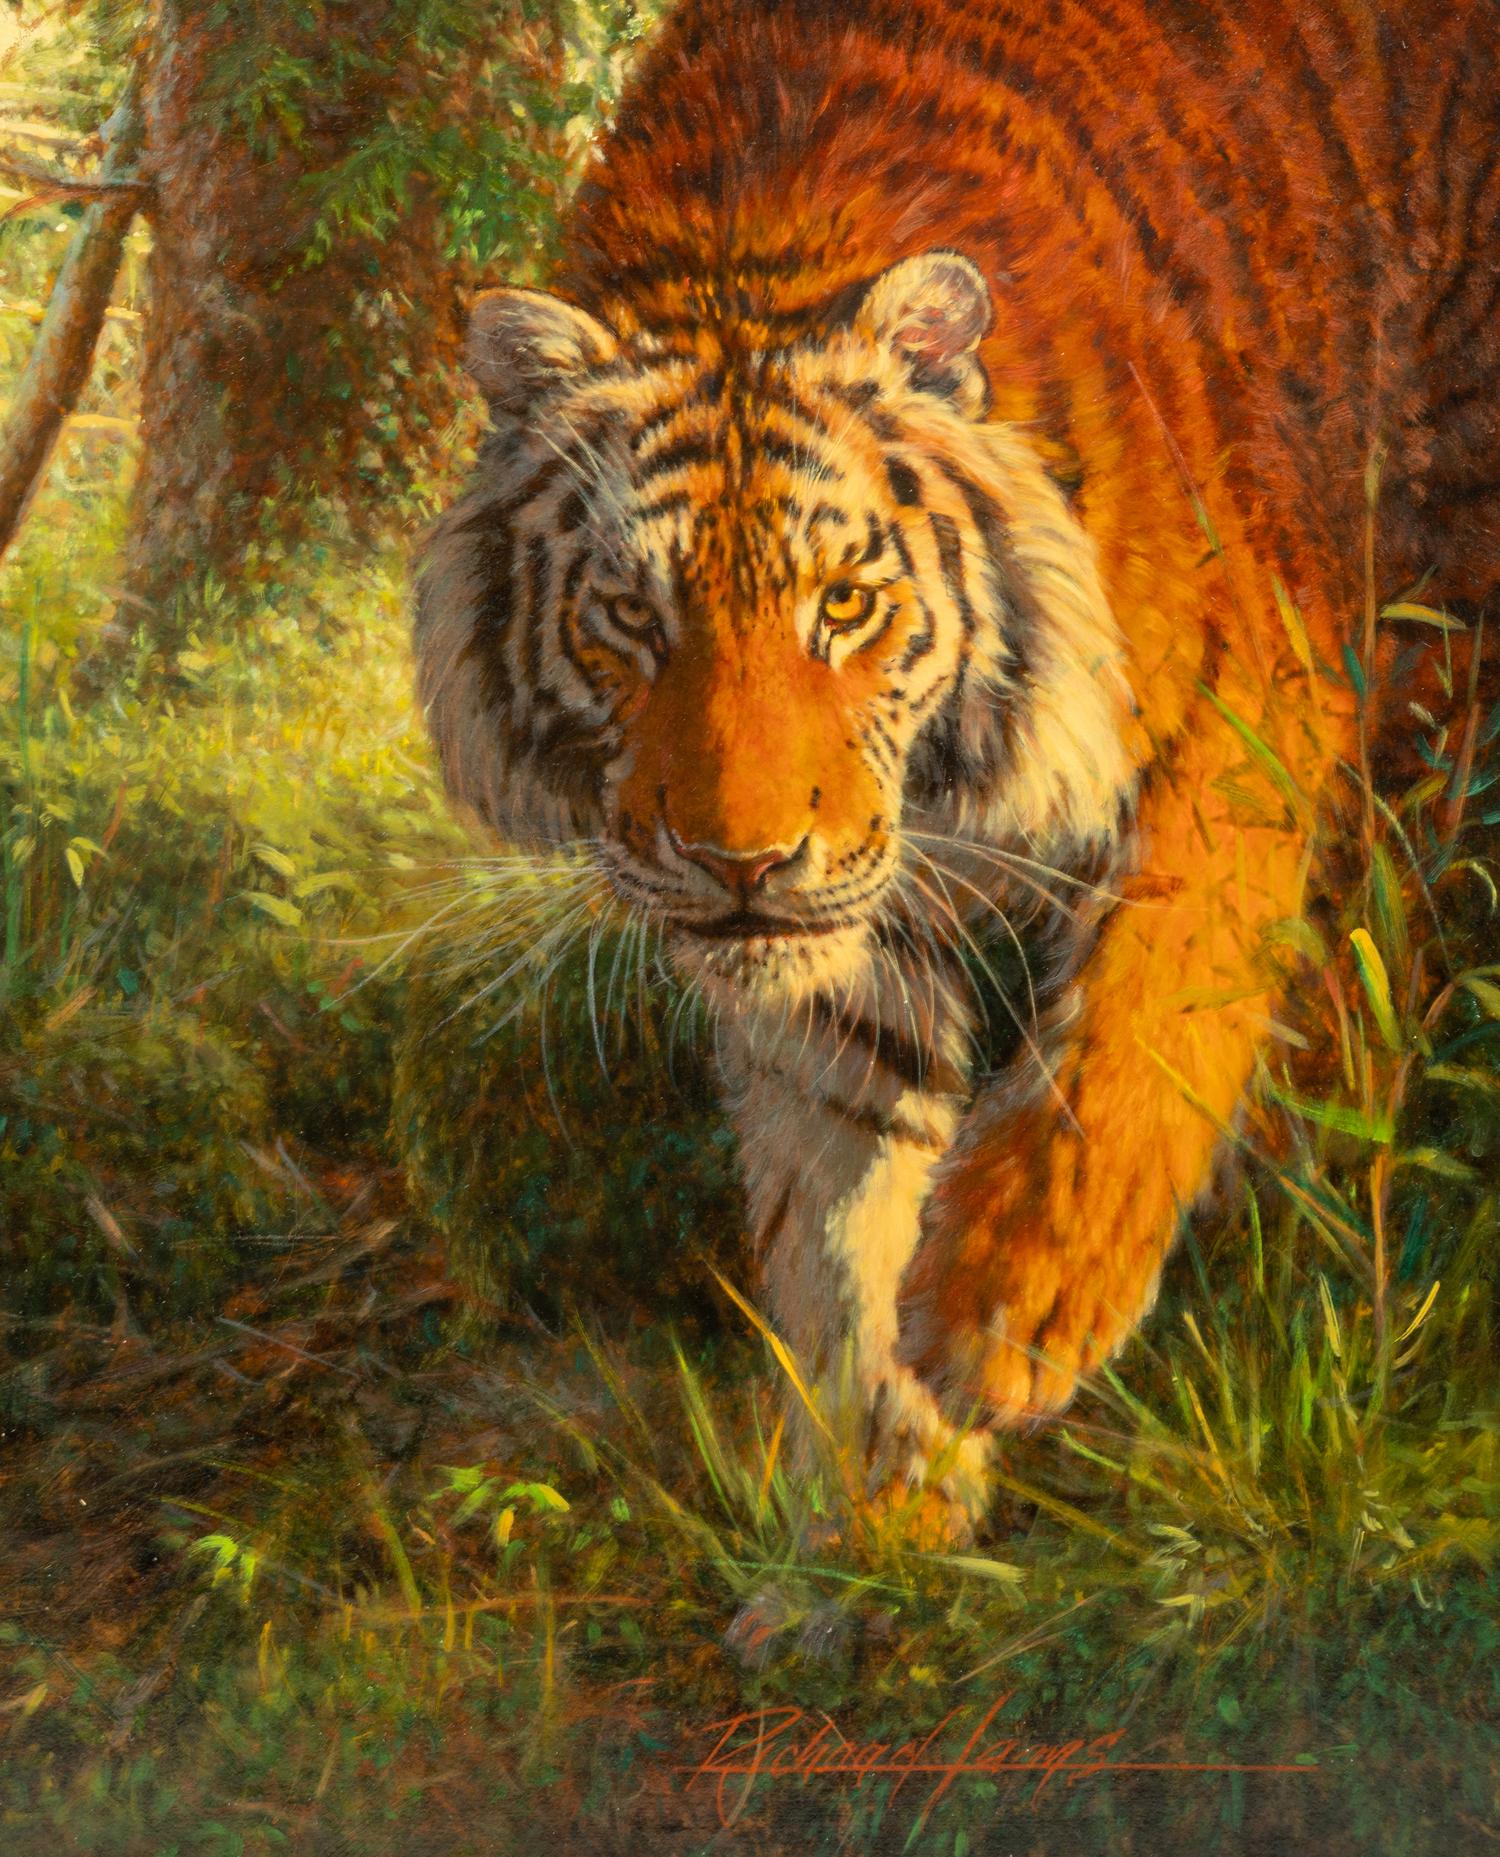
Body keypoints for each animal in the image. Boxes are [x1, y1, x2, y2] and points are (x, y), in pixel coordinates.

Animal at [414, 0, 1500, 1533]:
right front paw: (882, 1508)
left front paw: (1005, 1319)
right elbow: (834, 1191)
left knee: (1392, 906)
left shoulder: (1240, 713)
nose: (740, 863)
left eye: (845, 604)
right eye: (631, 616)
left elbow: (1145, 1022)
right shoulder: (840, 938)